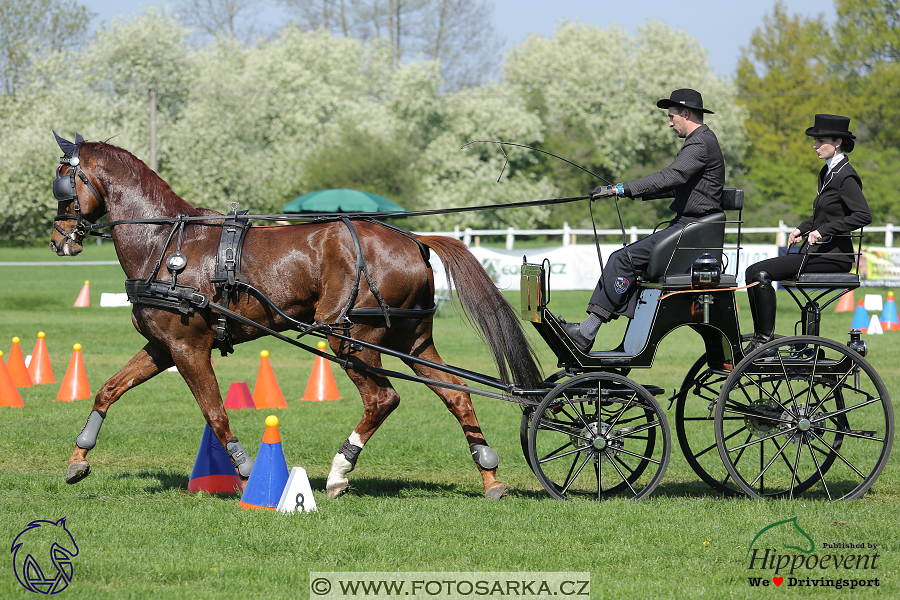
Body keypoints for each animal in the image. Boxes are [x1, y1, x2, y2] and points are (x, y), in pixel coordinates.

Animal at [49, 135, 540, 496]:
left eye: (63, 182)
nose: (57, 239)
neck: (166, 245)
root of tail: (412, 238)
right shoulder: (162, 347)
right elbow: (108, 390)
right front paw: (78, 460)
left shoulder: (189, 348)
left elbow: (215, 413)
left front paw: (247, 471)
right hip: (411, 339)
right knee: (456, 395)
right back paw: (490, 476)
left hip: (350, 337)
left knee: (383, 399)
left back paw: (340, 472)